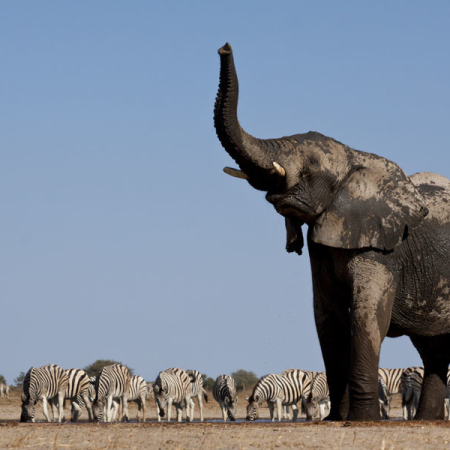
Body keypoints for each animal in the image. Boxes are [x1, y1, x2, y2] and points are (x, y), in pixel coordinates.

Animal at [213, 43, 450, 421]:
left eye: (311, 164)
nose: (224, 46)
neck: (357, 156)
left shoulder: (384, 250)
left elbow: (366, 317)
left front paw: (362, 421)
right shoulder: (322, 244)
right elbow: (328, 320)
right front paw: (336, 419)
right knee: (434, 350)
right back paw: (427, 420)